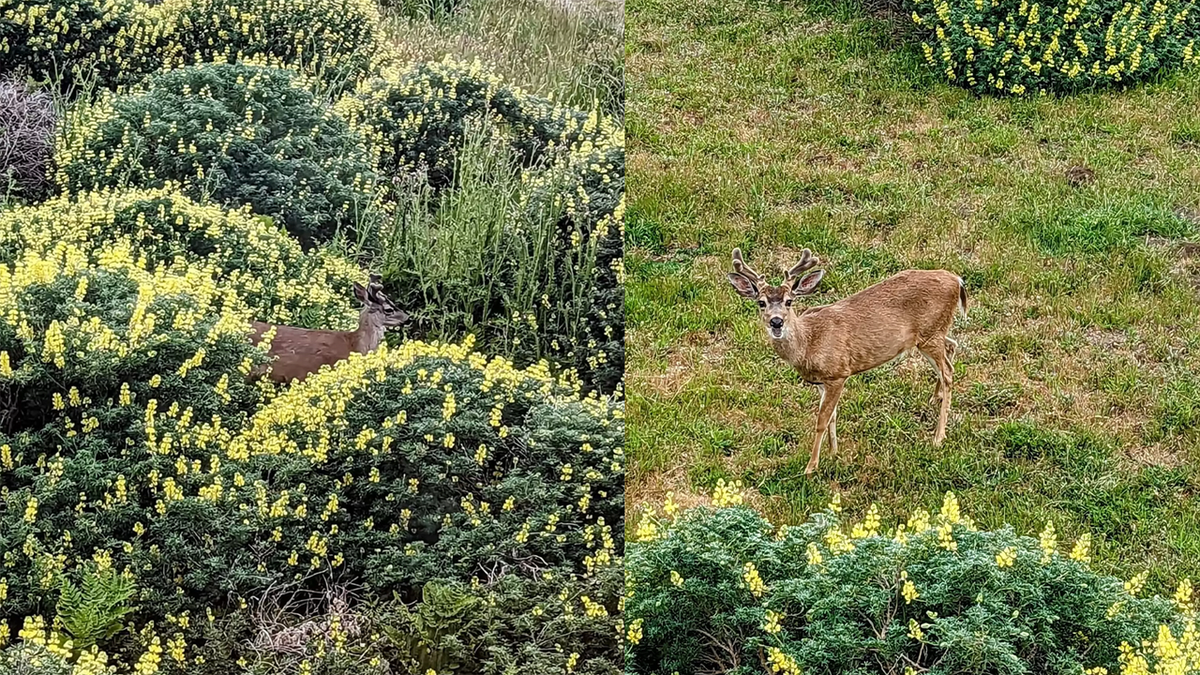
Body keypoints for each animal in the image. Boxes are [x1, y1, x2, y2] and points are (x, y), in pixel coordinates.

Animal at [720, 247, 964, 473]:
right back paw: (935, 398)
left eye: (789, 301)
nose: (776, 322)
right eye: (761, 302)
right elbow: (832, 417)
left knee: (949, 371)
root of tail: (957, 280)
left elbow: (821, 420)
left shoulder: (838, 372)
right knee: (952, 347)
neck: (809, 343)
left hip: (931, 332)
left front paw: (811, 467)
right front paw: (833, 452)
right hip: (932, 334)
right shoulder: (821, 381)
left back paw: (938, 437)